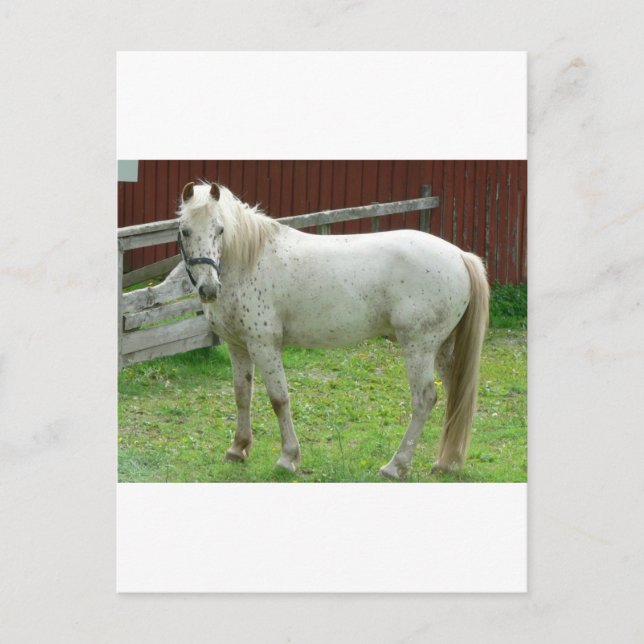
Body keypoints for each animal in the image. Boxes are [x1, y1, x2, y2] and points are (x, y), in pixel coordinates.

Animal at [176, 181, 489, 479]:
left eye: (220, 229)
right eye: (185, 230)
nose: (208, 289)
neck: (250, 260)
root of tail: (460, 256)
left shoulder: (264, 346)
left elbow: (279, 399)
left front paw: (288, 458)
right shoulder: (238, 346)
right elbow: (242, 395)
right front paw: (238, 449)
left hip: (419, 347)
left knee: (424, 399)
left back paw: (396, 466)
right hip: (443, 348)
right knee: (455, 395)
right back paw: (446, 464)